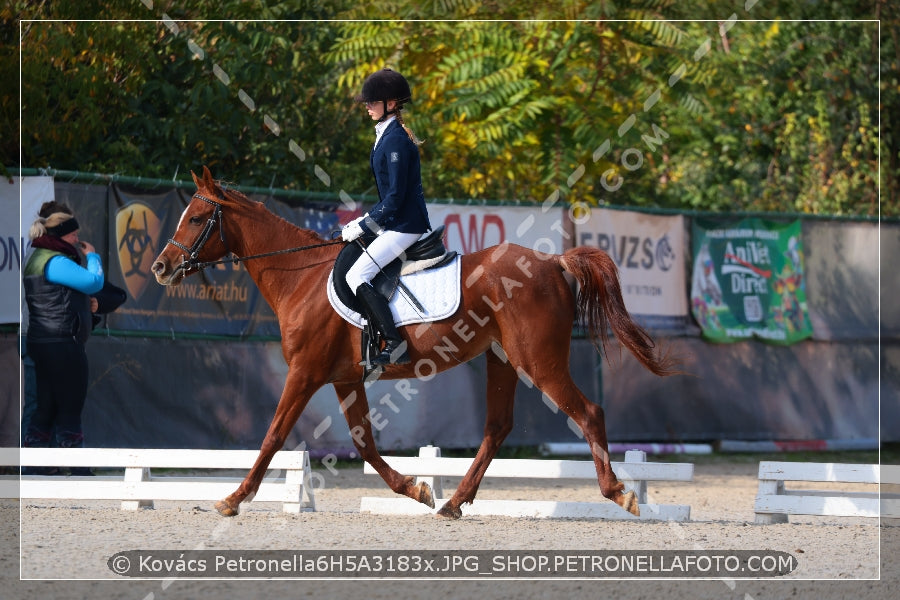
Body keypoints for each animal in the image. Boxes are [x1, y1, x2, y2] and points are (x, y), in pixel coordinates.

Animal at [153, 166, 676, 516]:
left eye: (197, 218)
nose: (160, 267)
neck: (299, 275)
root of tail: (553, 261)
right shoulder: (345, 378)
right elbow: (364, 444)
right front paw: (417, 489)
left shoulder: (304, 372)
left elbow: (273, 436)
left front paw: (232, 498)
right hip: (503, 359)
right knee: (497, 428)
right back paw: (453, 502)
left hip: (539, 361)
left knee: (588, 413)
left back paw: (619, 493)